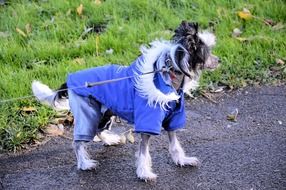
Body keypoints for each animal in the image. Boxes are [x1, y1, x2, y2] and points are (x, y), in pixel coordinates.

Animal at [31, 21, 219, 181]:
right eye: (206, 52)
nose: (219, 60)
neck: (170, 76)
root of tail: (70, 82)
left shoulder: (171, 119)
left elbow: (175, 145)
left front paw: (182, 160)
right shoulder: (147, 123)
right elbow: (143, 153)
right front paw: (144, 173)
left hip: (104, 112)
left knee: (98, 130)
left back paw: (109, 140)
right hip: (87, 113)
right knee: (78, 142)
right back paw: (84, 163)